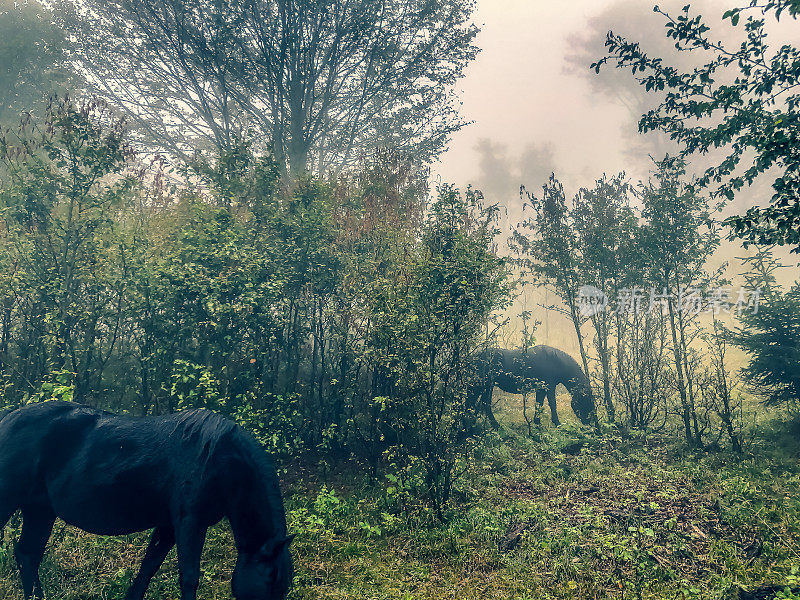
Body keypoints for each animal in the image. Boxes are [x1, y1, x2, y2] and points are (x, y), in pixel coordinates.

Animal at [0, 398, 294, 600]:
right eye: (270, 578)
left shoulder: (168, 526)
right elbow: (189, 577)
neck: (218, 461)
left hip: (40, 510)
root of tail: (8, 418)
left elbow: (148, 568)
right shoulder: (190, 523)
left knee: (28, 555)